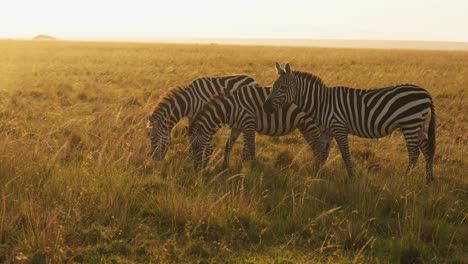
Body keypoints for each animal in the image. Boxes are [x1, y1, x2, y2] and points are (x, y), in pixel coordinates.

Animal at [186, 84, 326, 171]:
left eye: (195, 147)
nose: (196, 169)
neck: (230, 108)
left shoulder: (248, 123)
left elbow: (252, 146)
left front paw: (253, 167)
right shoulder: (237, 127)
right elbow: (228, 145)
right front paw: (224, 166)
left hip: (312, 123)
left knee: (319, 145)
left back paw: (319, 168)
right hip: (304, 125)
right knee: (314, 144)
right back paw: (315, 165)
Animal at [264, 62, 436, 182]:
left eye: (283, 87)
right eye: (273, 86)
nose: (266, 107)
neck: (322, 103)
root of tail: (426, 92)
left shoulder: (339, 128)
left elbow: (345, 154)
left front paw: (351, 177)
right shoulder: (327, 131)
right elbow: (322, 153)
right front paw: (319, 175)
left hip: (410, 124)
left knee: (414, 153)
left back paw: (404, 179)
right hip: (418, 125)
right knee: (427, 150)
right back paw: (428, 180)